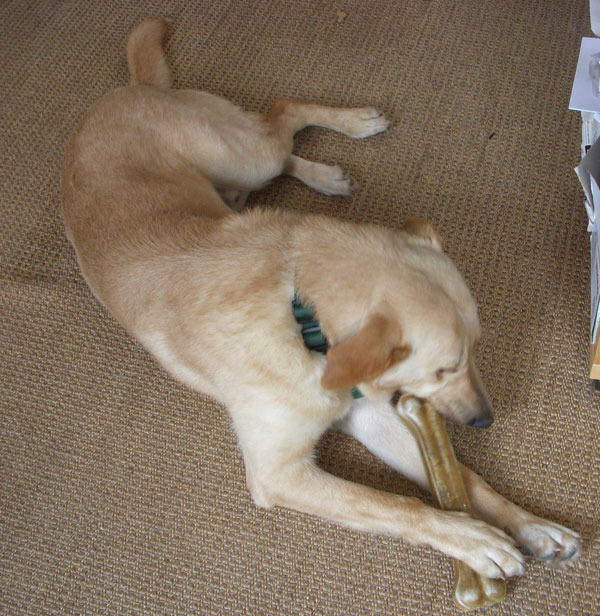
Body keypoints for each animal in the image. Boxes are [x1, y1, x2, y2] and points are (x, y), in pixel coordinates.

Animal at [61, 18, 580, 576]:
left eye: (477, 351)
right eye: (444, 368)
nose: (487, 419)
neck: (300, 315)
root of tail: (124, 90)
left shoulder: (371, 413)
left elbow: (467, 478)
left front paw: (533, 526)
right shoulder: (279, 472)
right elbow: (394, 504)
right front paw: (474, 539)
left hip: (245, 166)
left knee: (283, 117)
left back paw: (338, 151)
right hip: (245, 161)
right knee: (279, 115)